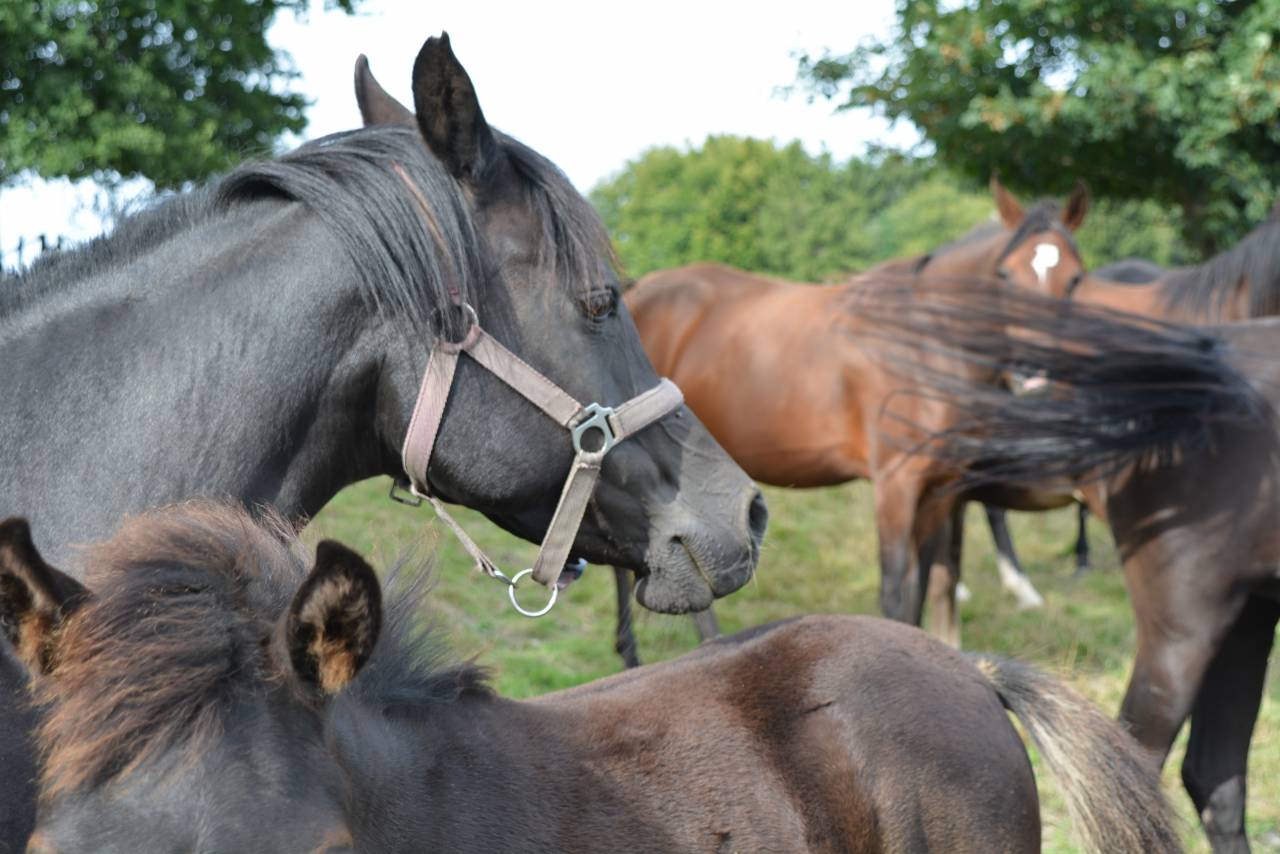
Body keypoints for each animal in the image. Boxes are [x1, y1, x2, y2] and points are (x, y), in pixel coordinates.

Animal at [612, 179, 1091, 661]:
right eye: (1005, 276)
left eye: (1074, 279)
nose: (1033, 373)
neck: (923, 343)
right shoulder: (896, 486)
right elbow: (897, 593)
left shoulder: (940, 490)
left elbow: (935, 584)